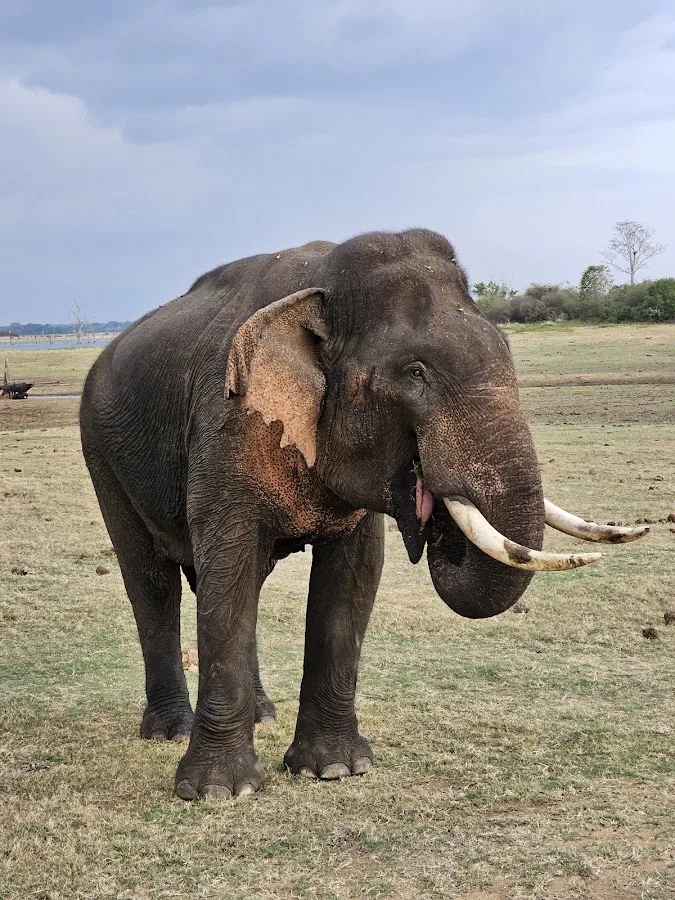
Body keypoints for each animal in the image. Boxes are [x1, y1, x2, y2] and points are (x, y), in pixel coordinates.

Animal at [79, 229, 647, 800]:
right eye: (415, 373)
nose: (429, 505)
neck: (321, 284)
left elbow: (353, 574)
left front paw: (334, 769)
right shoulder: (227, 423)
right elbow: (230, 565)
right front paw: (219, 792)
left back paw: (262, 715)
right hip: (101, 452)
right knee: (153, 581)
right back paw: (171, 730)